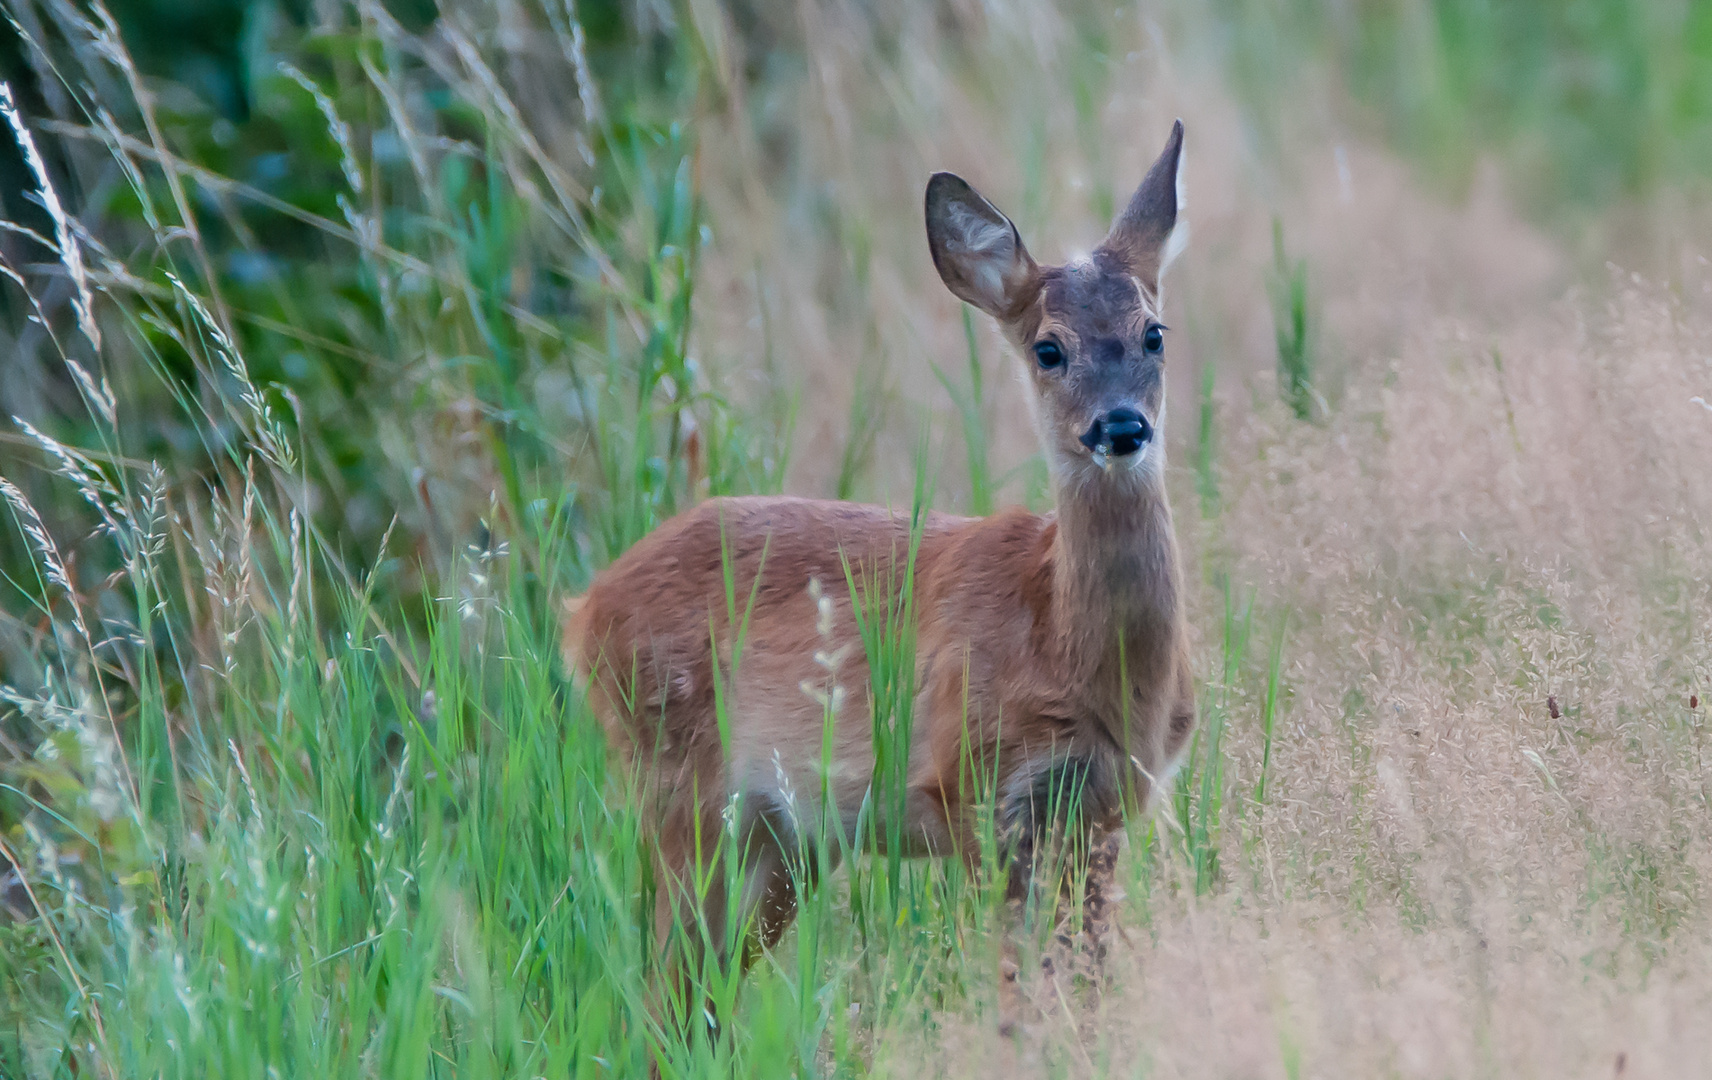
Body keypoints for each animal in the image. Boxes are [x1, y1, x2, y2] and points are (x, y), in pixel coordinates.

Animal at [561, 118, 1191, 985]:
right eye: (1048, 349)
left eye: (1153, 335)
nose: (1122, 426)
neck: (1068, 644)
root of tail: (582, 610)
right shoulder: (975, 790)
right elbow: (1021, 985)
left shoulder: (1105, 809)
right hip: (682, 790)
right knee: (662, 983)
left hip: (784, 840)